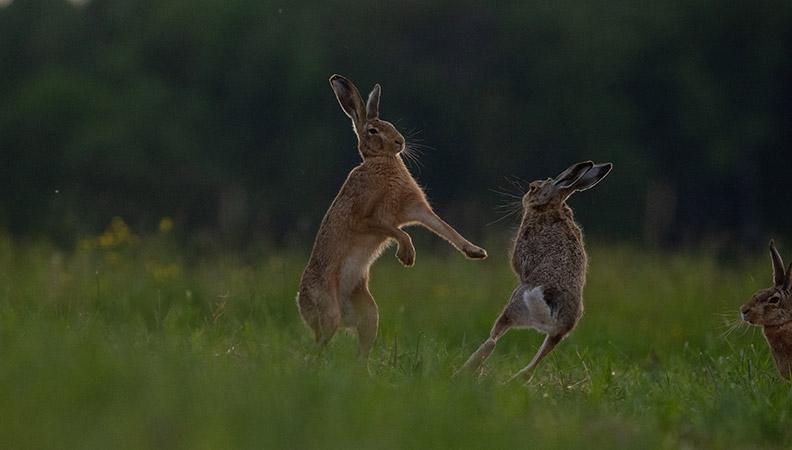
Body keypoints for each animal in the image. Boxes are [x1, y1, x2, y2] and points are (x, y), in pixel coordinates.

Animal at [297, 74, 488, 359]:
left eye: (390, 125)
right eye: (373, 131)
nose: (400, 142)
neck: (382, 161)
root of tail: (300, 302)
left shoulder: (416, 208)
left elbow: (444, 228)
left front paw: (476, 252)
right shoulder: (365, 217)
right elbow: (399, 231)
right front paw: (407, 256)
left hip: (369, 313)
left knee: (359, 346)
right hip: (327, 310)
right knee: (317, 347)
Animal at [456, 161, 612, 382]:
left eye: (533, 188)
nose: (524, 197)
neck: (552, 205)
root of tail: (550, 314)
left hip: (516, 303)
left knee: (493, 339)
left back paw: (465, 370)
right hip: (559, 333)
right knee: (534, 363)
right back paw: (512, 380)